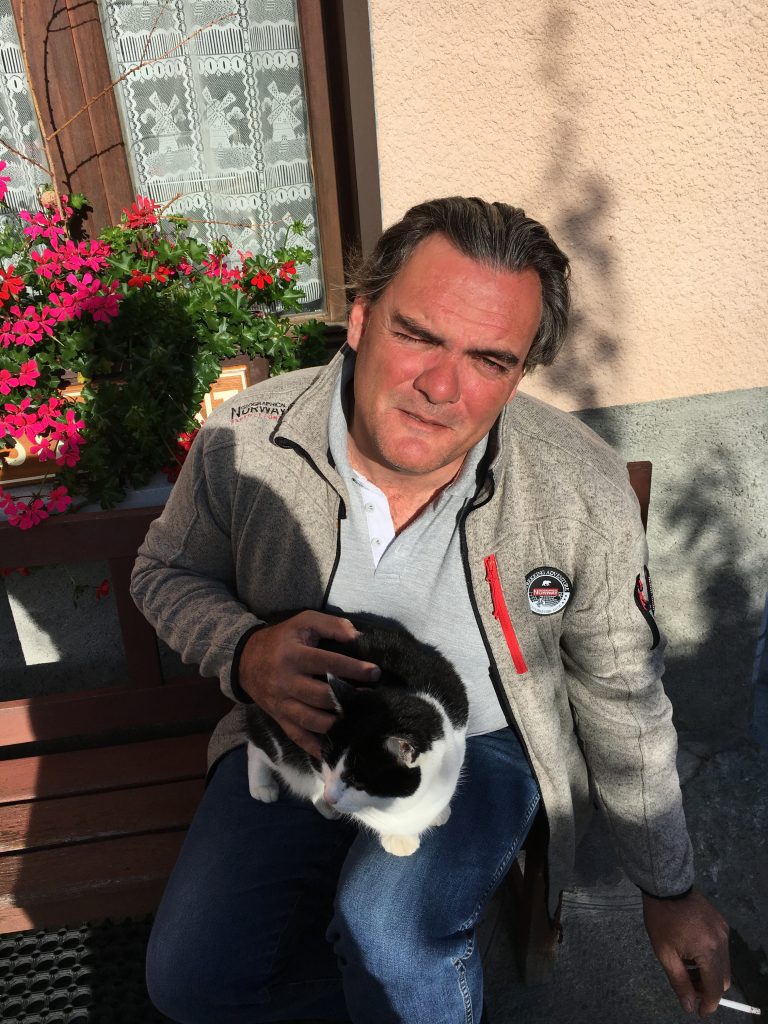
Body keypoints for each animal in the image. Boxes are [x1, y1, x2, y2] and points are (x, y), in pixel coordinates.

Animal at [245, 613, 469, 856]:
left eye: (356, 779)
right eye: (327, 760)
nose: (330, 797)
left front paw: (436, 812)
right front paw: (400, 838)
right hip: (279, 730)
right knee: (261, 747)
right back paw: (263, 786)